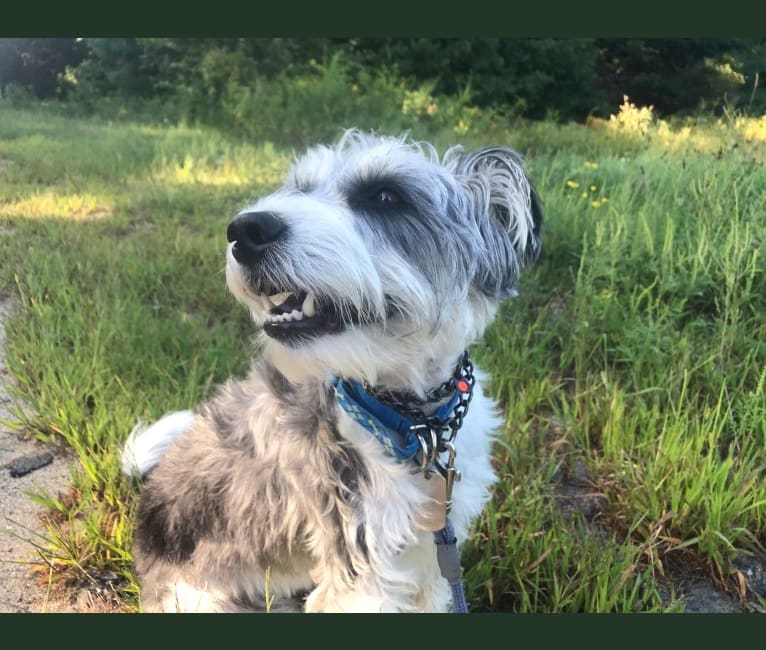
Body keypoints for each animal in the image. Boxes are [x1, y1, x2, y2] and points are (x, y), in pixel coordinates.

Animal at [123, 129, 544, 612]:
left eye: (386, 196)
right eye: (300, 189)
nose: (245, 230)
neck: (411, 425)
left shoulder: (426, 556)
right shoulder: (361, 565)